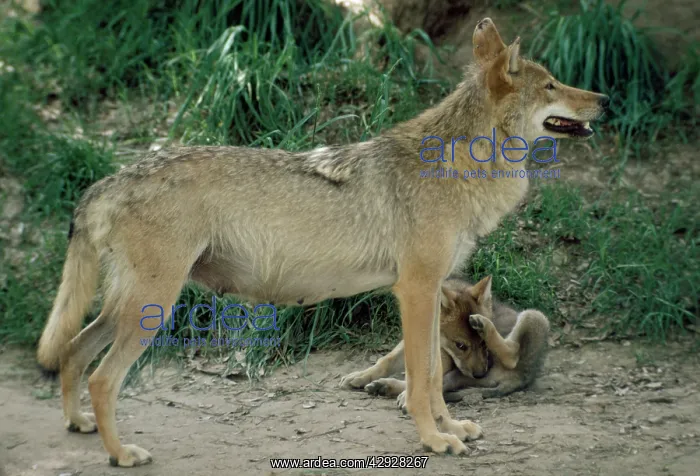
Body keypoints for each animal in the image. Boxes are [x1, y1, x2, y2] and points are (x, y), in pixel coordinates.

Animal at [340, 276, 550, 404]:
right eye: (461, 345)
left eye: (483, 344)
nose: (480, 373)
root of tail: (523, 378)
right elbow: (386, 360)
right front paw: (360, 375)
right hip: (461, 376)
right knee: (438, 385)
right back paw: (384, 387)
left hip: (535, 316)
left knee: (512, 353)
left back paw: (482, 324)